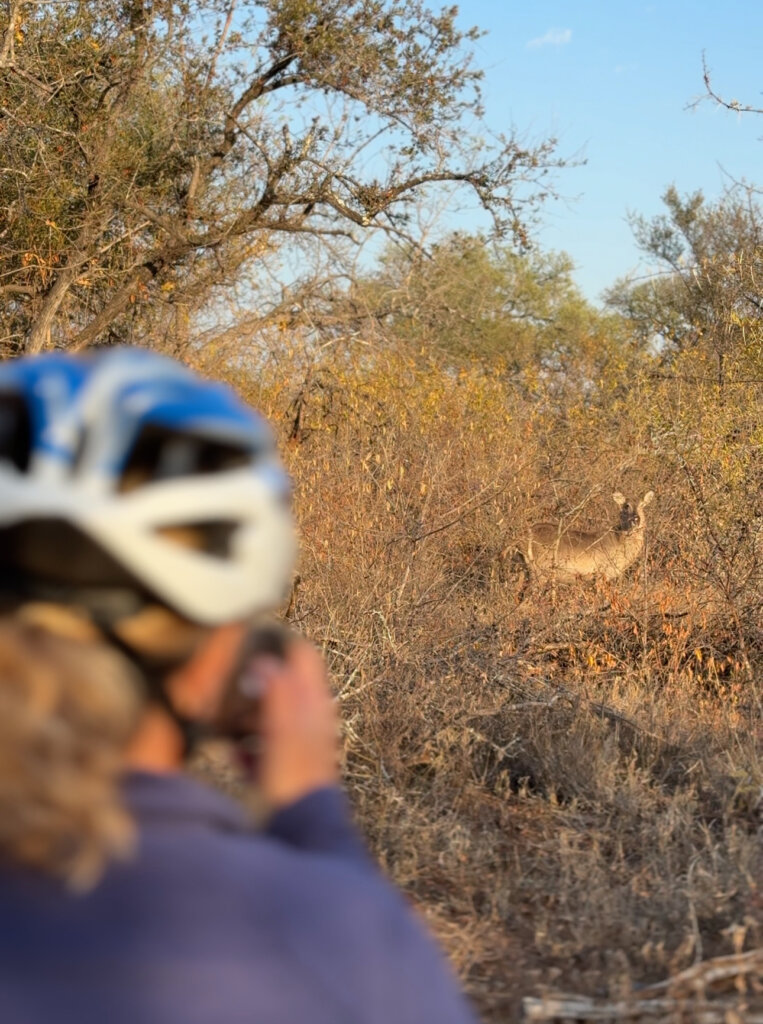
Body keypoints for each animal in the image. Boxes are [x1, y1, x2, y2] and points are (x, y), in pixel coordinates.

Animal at [524, 493, 655, 589]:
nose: (636, 519)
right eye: (626, 505)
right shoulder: (602, 572)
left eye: (642, 505)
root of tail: (527, 534)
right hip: (540, 570)